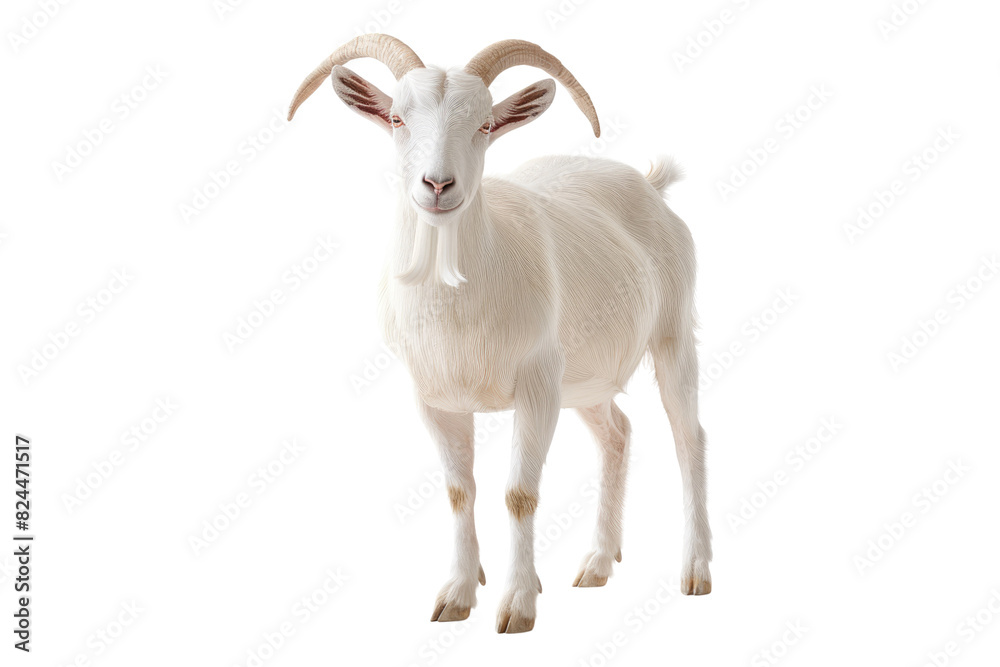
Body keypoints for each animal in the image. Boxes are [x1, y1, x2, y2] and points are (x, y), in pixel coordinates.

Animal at [288, 33, 713, 633]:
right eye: (396, 118)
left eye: (485, 124)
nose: (438, 184)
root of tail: (650, 184)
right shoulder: (436, 399)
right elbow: (457, 491)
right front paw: (457, 595)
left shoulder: (537, 387)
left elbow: (519, 494)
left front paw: (517, 604)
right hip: (584, 378)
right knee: (617, 434)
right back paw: (598, 563)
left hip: (672, 333)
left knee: (688, 438)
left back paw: (695, 571)